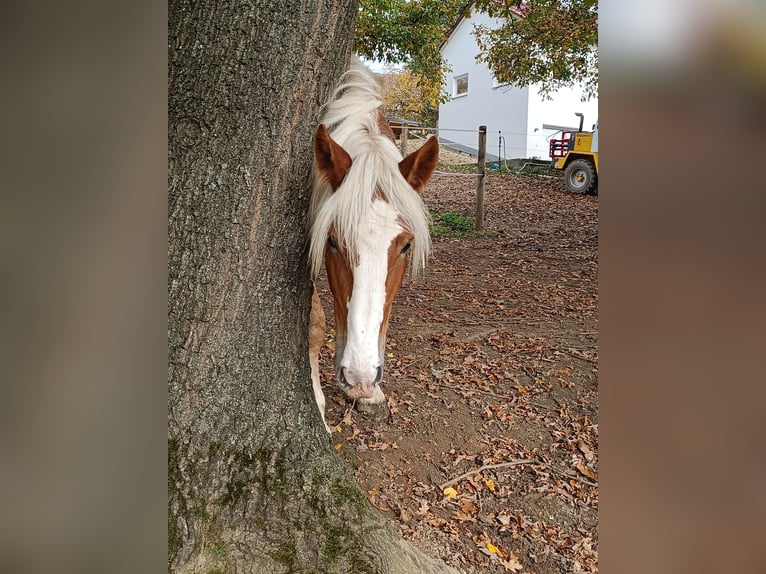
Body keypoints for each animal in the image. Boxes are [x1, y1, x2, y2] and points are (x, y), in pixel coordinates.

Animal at [306, 59, 438, 436]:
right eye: (332, 241)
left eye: (406, 246)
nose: (360, 377)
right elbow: (316, 323)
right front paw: (319, 404)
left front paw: (370, 391)